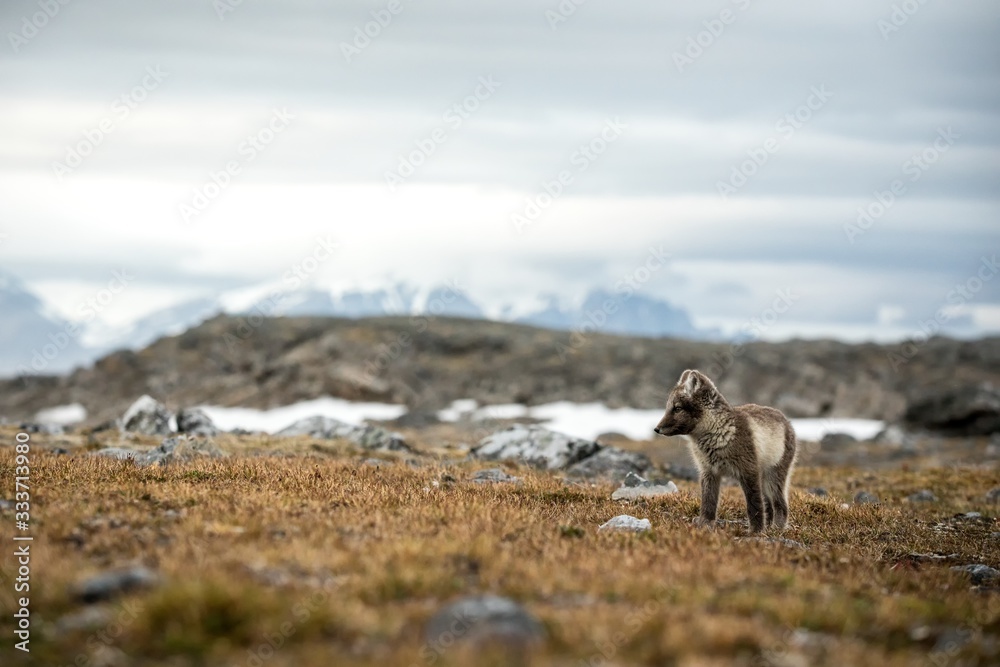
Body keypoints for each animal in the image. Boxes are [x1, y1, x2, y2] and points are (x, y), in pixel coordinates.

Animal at [653, 369, 797, 533]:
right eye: (668, 407)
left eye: (677, 408)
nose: (656, 429)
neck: (717, 432)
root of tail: (786, 420)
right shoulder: (709, 472)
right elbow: (708, 502)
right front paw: (705, 524)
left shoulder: (748, 471)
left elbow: (754, 505)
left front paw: (756, 531)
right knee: (768, 505)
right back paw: (769, 526)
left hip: (773, 476)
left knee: (780, 504)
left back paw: (776, 528)